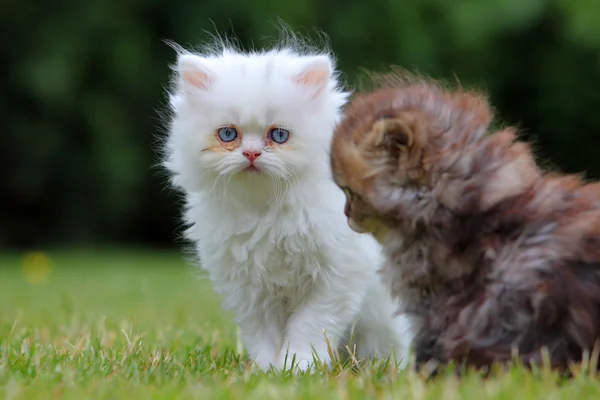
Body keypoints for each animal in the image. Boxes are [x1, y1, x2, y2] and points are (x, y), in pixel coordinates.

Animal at [162, 40, 410, 372]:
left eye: (278, 136)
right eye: (228, 134)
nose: (251, 154)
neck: (264, 211)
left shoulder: (335, 278)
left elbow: (309, 328)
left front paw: (299, 368)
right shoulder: (248, 290)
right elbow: (263, 336)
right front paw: (267, 370)